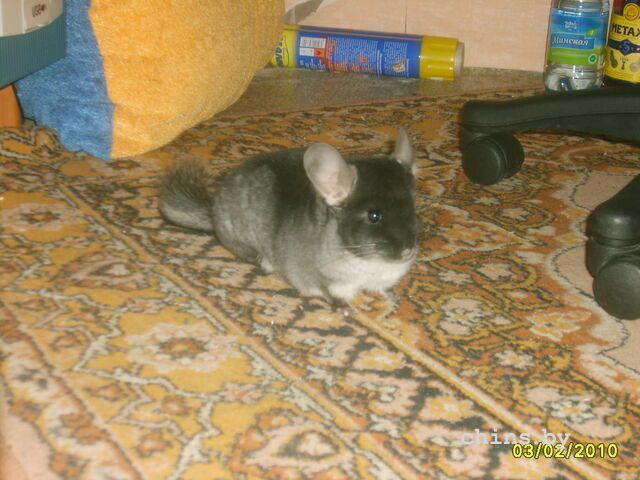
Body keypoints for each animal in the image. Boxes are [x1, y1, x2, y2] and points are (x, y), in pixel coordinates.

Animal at [159, 128, 420, 308]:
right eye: (374, 215)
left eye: (412, 207)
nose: (407, 251)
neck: (369, 264)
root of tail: (213, 211)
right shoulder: (318, 277)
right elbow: (329, 293)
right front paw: (345, 309)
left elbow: (382, 290)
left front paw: (392, 299)